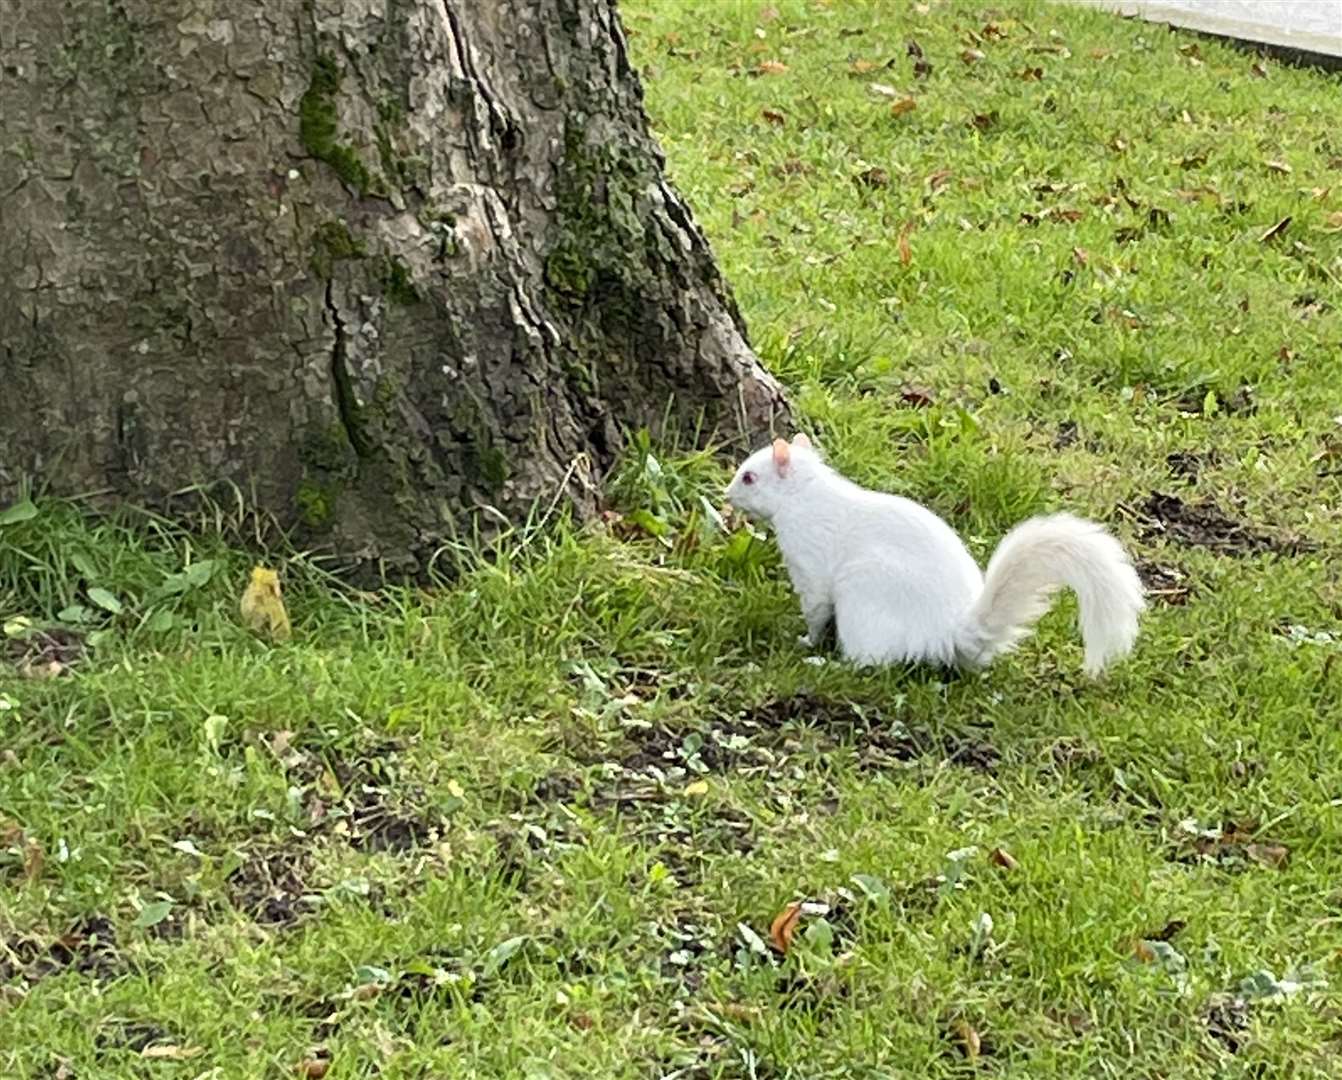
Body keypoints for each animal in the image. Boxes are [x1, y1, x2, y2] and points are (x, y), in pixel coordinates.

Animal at [724, 432, 1143, 673]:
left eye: (749, 477)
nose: (727, 495)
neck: (804, 495)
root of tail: (948, 634)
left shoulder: (810, 565)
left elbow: (815, 609)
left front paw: (807, 640)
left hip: (864, 601)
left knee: (871, 662)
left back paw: (826, 664)